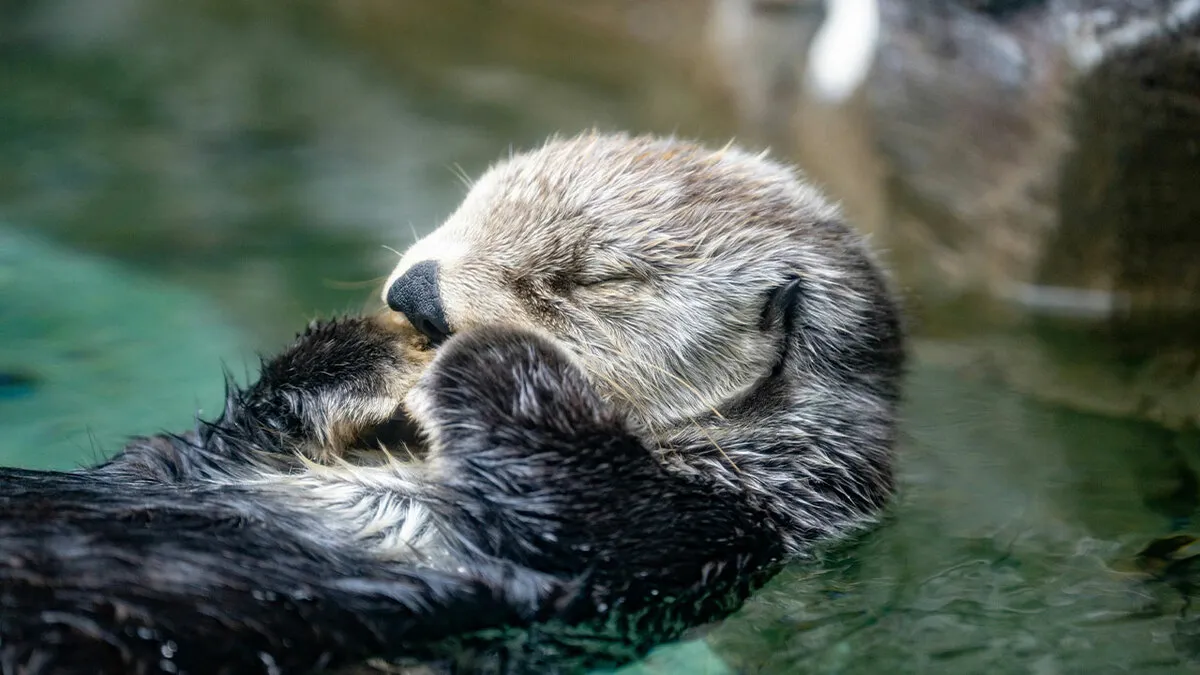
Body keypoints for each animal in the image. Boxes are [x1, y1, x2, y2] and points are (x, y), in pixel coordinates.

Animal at [0, 132, 904, 674]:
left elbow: (577, 503)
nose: (416, 295)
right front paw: (368, 356)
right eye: (467, 208)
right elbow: (210, 441)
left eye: (590, 280)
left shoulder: (702, 534)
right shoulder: (210, 458)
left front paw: (483, 355)